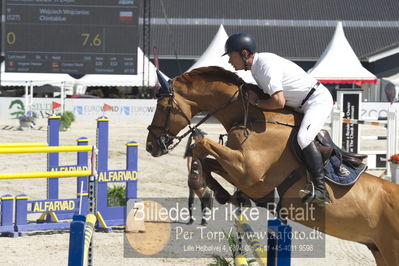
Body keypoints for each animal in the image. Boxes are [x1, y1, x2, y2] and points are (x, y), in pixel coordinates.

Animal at [147, 66, 399, 264]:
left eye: (162, 107)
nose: (150, 146)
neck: (254, 119)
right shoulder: (239, 169)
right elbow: (209, 161)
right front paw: (221, 194)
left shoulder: (250, 175)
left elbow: (202, 146)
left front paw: (208, 189)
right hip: (379, 251)